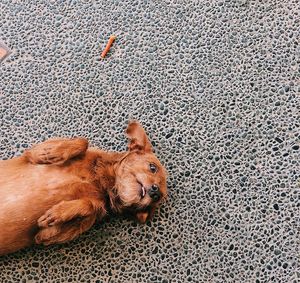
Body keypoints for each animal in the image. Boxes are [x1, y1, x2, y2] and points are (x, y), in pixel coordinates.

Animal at [0, 121, 166, 256]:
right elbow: (83, 141)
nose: (155, 191)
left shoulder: (58, 234)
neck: (98, 181)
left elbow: (88, 206)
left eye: (157, 200)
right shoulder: (29, 154)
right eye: (153, 167)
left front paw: (58, 213)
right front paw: (51, 153)